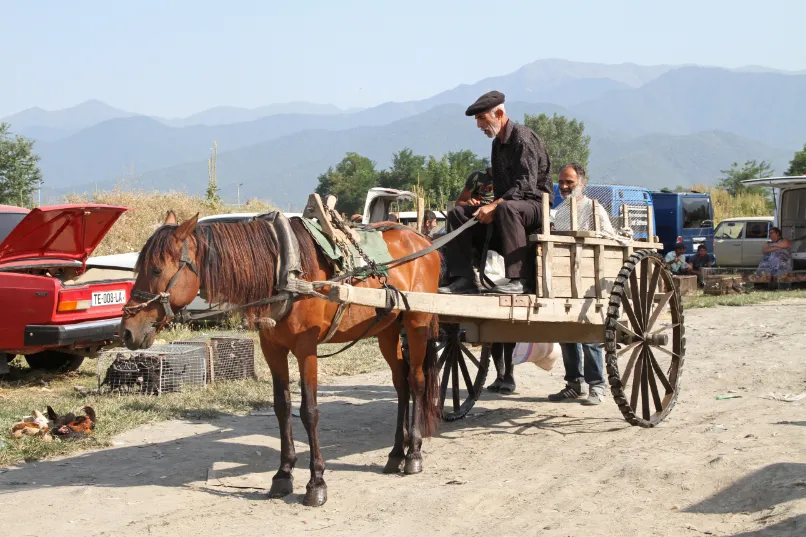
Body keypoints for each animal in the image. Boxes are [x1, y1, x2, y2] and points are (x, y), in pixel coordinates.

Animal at [121, 210, 442, 506]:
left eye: (156, 269)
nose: (126, 330)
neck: (285, 272)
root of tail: (423, 241)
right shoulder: (272, 348)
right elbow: (282, 407)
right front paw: (283, 474)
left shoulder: (306, 348)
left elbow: (309, 411)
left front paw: (316, 482)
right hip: (387, 329)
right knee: (400, 383)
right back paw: (396, 453)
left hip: (417, 322)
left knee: (416, 381)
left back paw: (413, 453)